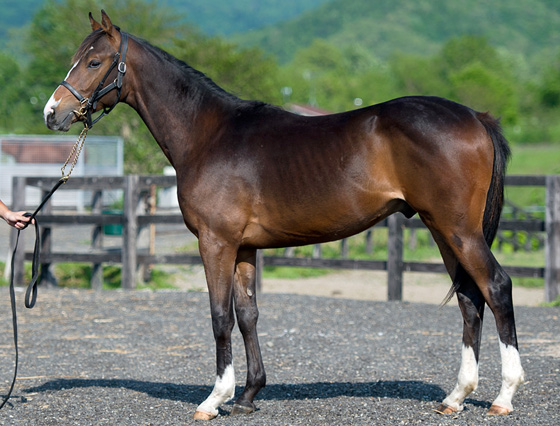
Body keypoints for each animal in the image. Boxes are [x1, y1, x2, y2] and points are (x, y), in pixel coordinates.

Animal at [43, 10, 524, 420]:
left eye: (94, 61)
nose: (52, 113)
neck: (208, 134)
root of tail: (476, 117)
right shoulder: (243, 247)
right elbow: (247, 315)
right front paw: (249, 395)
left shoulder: (215, 241)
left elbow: (219, 316)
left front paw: (214, 399)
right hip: (442, 229)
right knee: (469, 299)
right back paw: (456, 397)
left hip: (458, 230)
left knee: (497, 288)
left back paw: (503, 396)